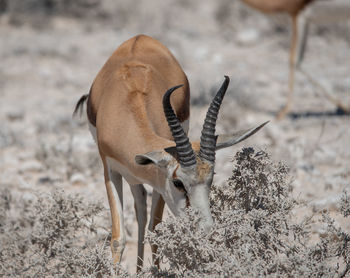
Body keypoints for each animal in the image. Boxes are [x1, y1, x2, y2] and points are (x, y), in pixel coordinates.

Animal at [74, 34, 266, 272]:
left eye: (211, 179)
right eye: (178, 183)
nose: (205, 230)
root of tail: (141, 38)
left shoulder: (158, 180)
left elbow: (155, 231)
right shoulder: (110, 169)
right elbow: (118, 238)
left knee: (141, 210)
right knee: (139, 206)